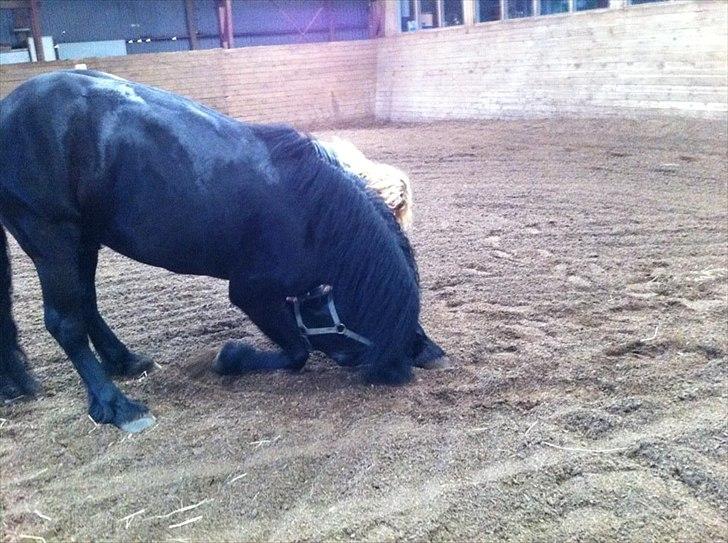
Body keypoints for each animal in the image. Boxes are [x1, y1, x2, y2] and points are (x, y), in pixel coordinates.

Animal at [0, 70, 443, 432]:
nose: (421, 352)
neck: (311, 214)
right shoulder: (251, 292)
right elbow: (297, 352)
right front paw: (230, 358)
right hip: (51, 237)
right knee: (66, 322)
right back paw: (116, 405)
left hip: (84, 238)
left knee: (87, 305)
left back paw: (123, 362)